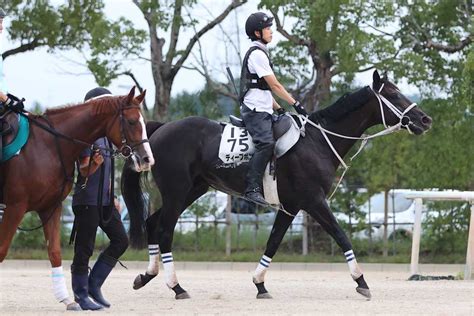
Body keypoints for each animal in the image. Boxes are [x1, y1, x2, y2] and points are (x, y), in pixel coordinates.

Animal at [0, 87, 154, 310]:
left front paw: (67, 299)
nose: (147, 159)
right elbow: (2, 250)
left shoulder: (50, 208)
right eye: (132, 121)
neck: (47, 145)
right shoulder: (15, 207)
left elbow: (55, 252)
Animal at [122, 70, 434, 300]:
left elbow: (273, 242)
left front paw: (260, 284)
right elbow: (341, 235)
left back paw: (146, 276)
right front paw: (361, 280)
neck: (317, 141)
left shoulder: (291, 207)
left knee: (152, 224)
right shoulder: (314, 201)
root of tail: (161, 129)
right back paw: (176, 287)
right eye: (392, 94)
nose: (424, 119)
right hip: (176, 193)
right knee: (164, 231)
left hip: (193, 190)